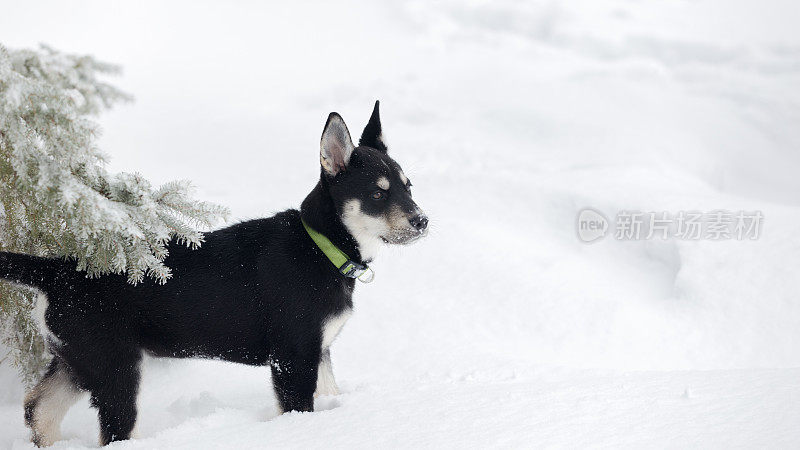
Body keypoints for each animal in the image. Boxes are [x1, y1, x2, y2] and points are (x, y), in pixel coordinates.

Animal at [0, 102, 428, 446]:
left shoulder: (318, 352)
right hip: (115, 367)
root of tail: (56, 270)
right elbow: (298, 410)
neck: (320, 247)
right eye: (377, 194)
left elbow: (327, 393)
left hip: (77, 358)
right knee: (112, 430)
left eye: (409, 187)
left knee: (39, 408)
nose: (422, 221)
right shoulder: (293, 357)